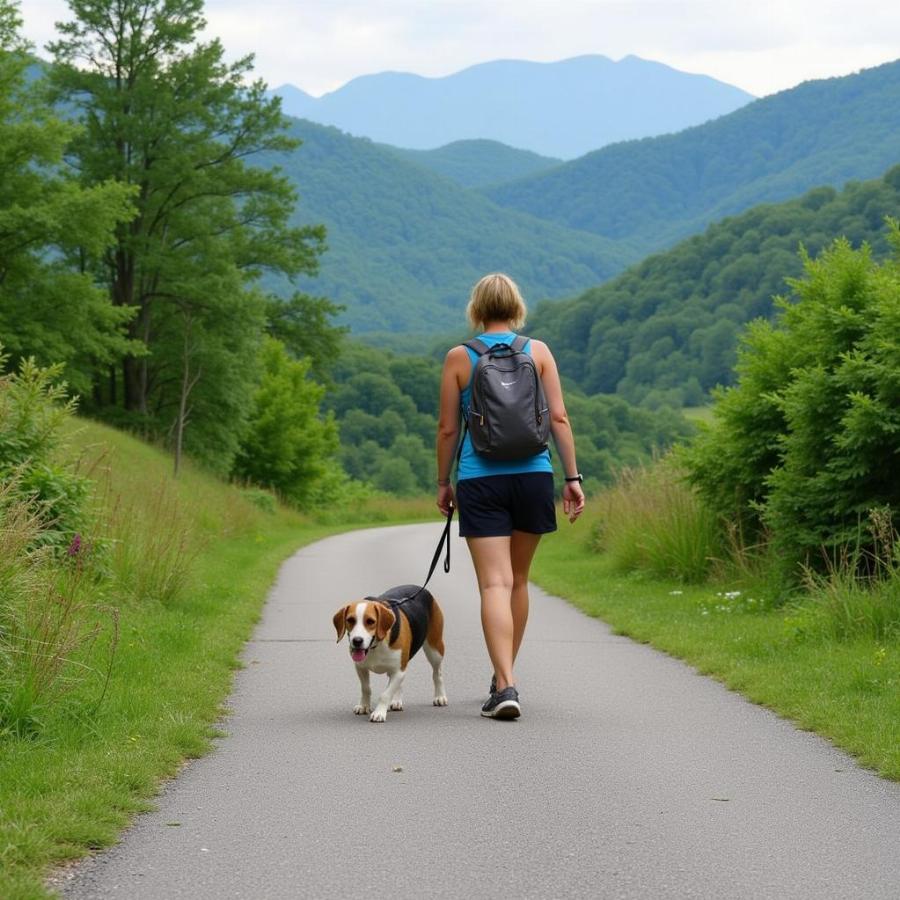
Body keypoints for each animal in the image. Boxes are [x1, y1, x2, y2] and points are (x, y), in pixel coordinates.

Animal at [332, 584, 448, 724]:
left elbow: (385, 694)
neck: (377, 645)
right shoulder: (361, 668)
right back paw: (396, 701)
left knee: (437, 674)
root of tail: (421, 588)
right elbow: (366, 688)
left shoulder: (399, 671)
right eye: (350, 620)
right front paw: (364, 706)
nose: (357, 641)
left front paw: (379, 713)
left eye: (370, 621)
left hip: (435, 649)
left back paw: (440, 696)